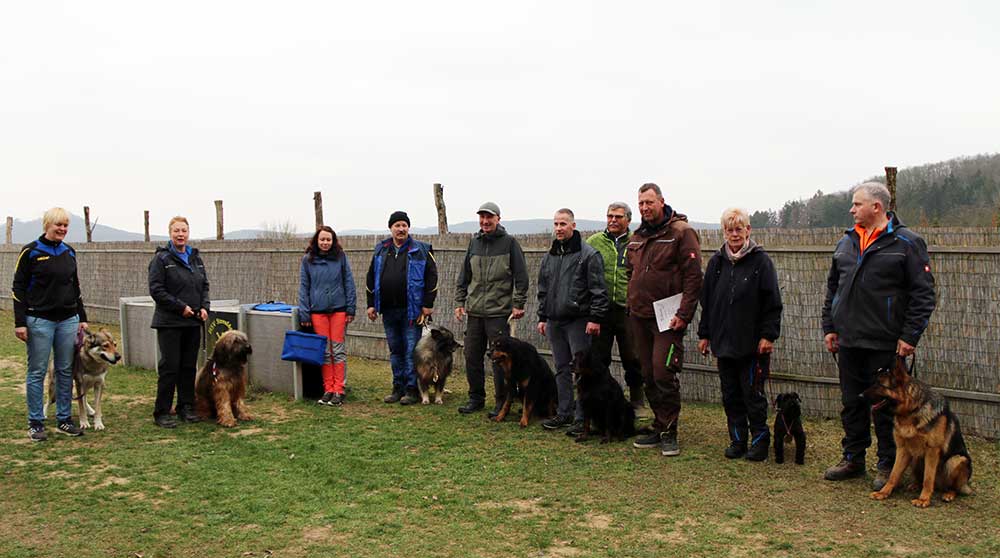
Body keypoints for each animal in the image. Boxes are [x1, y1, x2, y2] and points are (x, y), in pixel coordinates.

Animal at [864, 356, 972, 510]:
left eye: (880, 384)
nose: (860, 395)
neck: (911, 411)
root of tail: (939, 486)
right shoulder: (902, 449)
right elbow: (893, 474)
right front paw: (883, 492)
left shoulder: (932, 451)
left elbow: (928, 478)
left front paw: (923, 499)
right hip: (915, 457)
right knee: (921, 479)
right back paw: (915, 485)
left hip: (957, 460)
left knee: (953, 487)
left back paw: (948, 494)